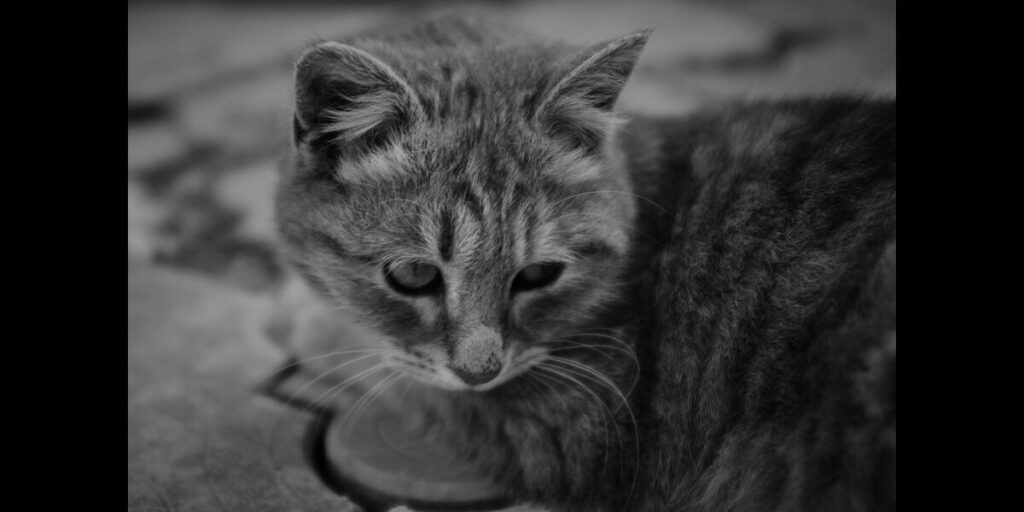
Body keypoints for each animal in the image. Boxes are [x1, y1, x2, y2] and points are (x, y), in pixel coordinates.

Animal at [274, 14, 897, 512]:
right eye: (413, 275)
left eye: (538, 275)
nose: (481, 372)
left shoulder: (564, 425)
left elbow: (385, 370)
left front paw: (303, 320)